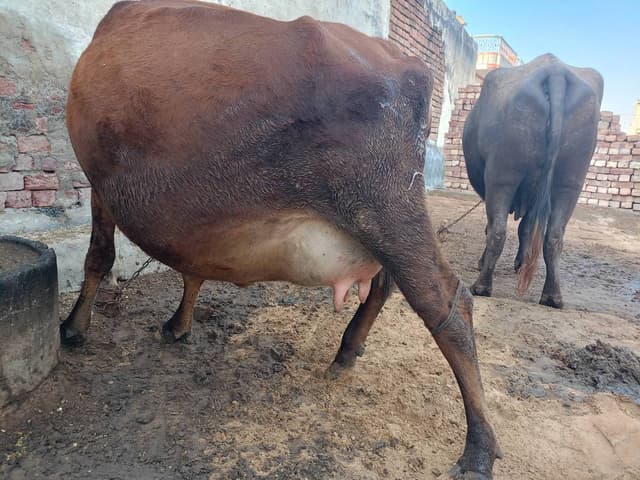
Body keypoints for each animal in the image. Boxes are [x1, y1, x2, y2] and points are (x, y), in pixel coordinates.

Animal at [61, 1, 501, 477]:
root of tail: (405, 61)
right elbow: (191, 268)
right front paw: (178, 324)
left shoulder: (100, 186)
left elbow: (98, 256)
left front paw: (74, 328)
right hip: (377, 220)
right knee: (386, 284)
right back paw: (347, 351)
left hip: (386, 205)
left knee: (447, 304)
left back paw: (478, 448)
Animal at [463, 54, 603, 307]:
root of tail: (555, 72)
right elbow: (526, 228)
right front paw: (521, 263)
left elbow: (498, 228)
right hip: (570, 181)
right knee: (554, 235)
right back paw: (552, 296)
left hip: (502, 176)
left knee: (498, 230)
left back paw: (482, 285)